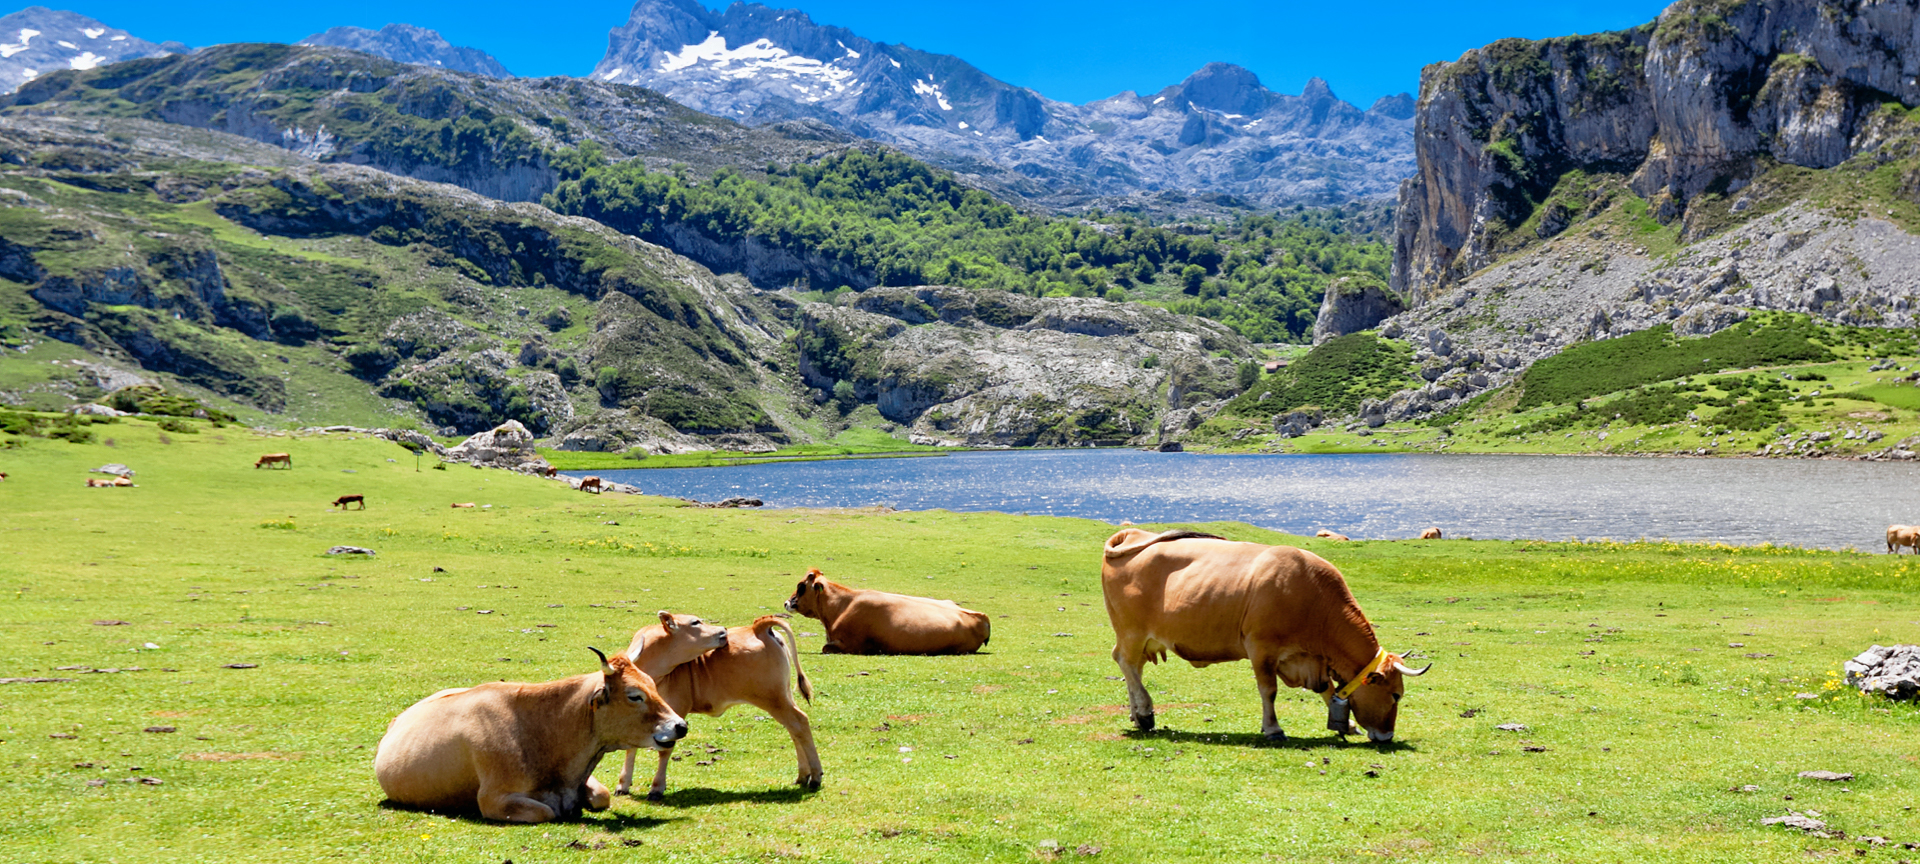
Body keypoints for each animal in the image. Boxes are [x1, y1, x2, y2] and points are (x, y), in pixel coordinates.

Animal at [373, 647, 686, 823]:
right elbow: (547, 811)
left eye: (653, 685)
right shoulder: (493, 799)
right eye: (635, 696)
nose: (680, 725)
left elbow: (602, 795)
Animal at [613, 612, 820, 800]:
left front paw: (656, 788)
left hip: (775, 700)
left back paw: (815, 776)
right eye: (695, 622)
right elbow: (631, 747)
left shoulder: (676, 712)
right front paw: (623, 784)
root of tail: (758, 628)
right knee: (794, 730)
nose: (723, 630)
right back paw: (803, 775)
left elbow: (664, 750)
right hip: (783, 698)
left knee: (800, 723)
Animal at [1100, 528, 1430, 743]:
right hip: (1131, 630)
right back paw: (1145, 712)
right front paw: (1273, 729)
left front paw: (1347, 724)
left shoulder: (1310, 659)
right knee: (1125, 662)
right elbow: (1268, 690)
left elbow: (1326, 689)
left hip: (1143, 638)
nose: (1387, 736)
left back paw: (1136, 714)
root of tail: (1133, 534)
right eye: (1396, 694)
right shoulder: (1261, 648)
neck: (1314, 598)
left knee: (1133, 668)